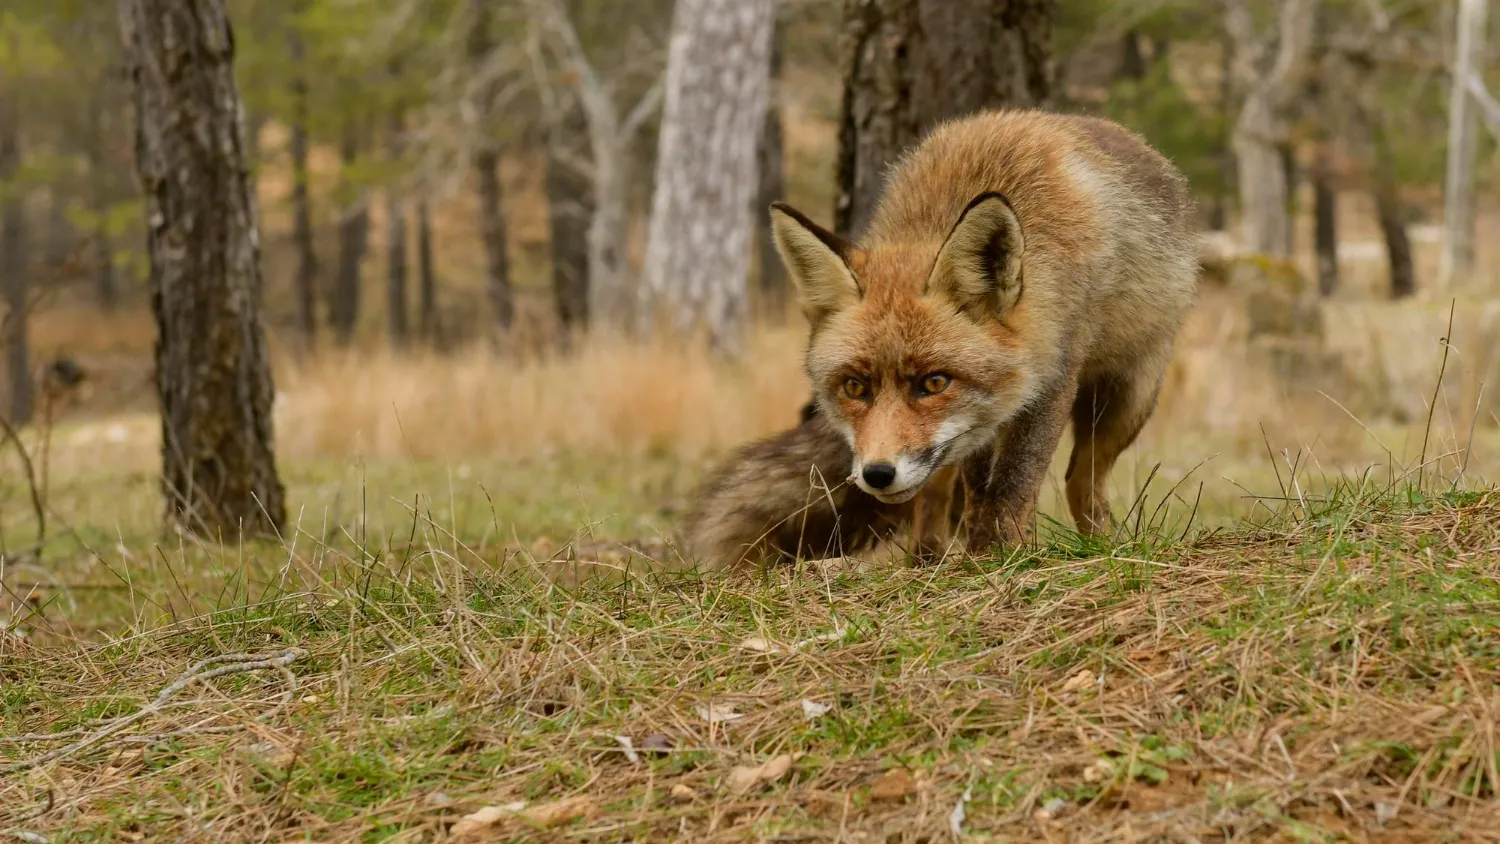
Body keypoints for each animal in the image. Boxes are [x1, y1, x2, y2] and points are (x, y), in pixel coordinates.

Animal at [758, 109, 1198, 554]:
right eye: (853, 386)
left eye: (934, 383)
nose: (877, 474)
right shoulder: (980, 421)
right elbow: (978, 487)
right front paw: (983, 550)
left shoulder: (1053, 377)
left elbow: (1012, 485)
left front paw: (1000, 553)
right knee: (936, 494)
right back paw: (926, 557)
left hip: (1128, 398)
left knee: (1082, 481)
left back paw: (1101, 545)